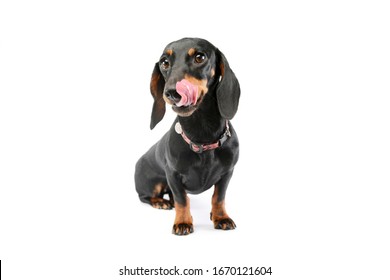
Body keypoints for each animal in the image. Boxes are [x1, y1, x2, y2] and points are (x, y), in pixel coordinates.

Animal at [135, 37, 241, 234]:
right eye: (164, 62)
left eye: (200, 57)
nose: (171, 93)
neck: (202, 134)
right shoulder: (173, 175)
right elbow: (182, 200)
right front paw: (183, 222)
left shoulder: (227, 173)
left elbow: (218, 197)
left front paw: (220, 217)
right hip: (151, 183)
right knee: (145, 196)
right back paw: (160, 202)